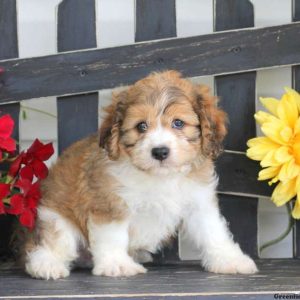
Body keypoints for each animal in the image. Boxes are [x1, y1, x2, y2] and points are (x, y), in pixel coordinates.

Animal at [24, 69, 258, 278]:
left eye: (178, 123)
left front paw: (229, 259)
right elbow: (113, 235)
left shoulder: (198, 200)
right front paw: (117, 264)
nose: (160, 151)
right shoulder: (110, 204)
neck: (160, 177)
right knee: (54, 244)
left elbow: (213, 232)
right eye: (141, 126)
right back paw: (47, 265)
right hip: (54, 217)